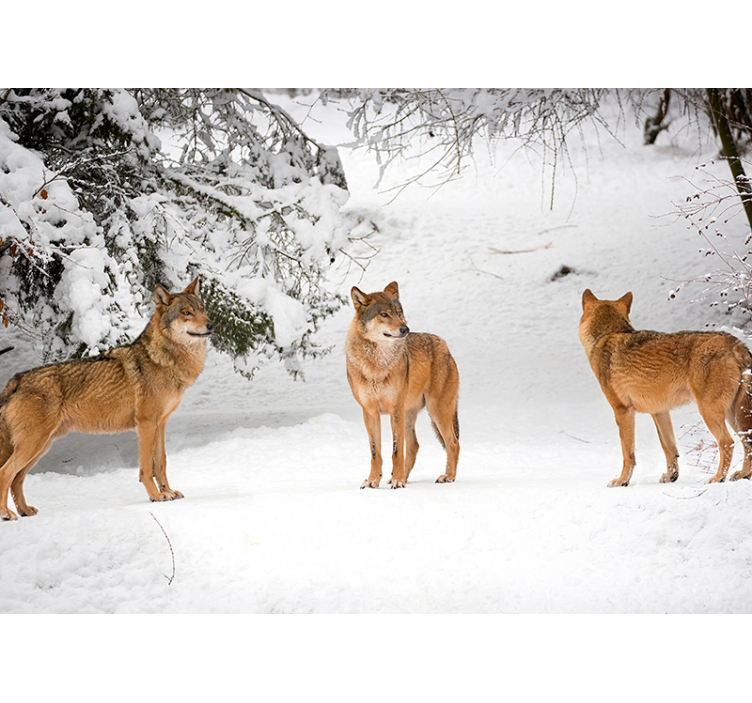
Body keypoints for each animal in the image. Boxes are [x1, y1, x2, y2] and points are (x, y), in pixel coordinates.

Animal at [0, 278, 214, 520]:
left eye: (202, 309)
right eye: (187, 313)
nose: (211, 325)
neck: (163, 360)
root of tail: (15, 380)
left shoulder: (161, 424)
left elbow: (161, 464)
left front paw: (167, 492)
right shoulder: (146, 425)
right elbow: (146, 469)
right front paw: (156, 496)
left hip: (41, 447)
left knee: (17, 478)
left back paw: (25, 510)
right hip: (33, 445)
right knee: (5, 473)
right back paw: (6, 513)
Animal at [345, 281, 460, 489]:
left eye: (399, 313)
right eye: (384, 314)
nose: (405, 329)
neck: (377, 364)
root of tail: (445, 346)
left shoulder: (395, 410)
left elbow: (396, 451)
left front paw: (397, 481)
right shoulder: (370, 412)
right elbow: (376, 453)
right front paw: (373, 480)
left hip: (437, 411)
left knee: (453, 443)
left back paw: (447, 476)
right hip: (410, 415)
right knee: (414, 446)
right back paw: (403, 478)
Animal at [579, 288, 752, 487]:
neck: (606, 336)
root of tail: (737, 344)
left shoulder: (623, 411)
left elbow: (628, 453)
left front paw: (622, 481)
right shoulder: (660, 412)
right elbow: (669, 448)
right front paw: (671, 477)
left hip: (711, 412)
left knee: (727, 442)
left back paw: (717, 479)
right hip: (734, 416)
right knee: (747, 441)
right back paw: (743, 475)